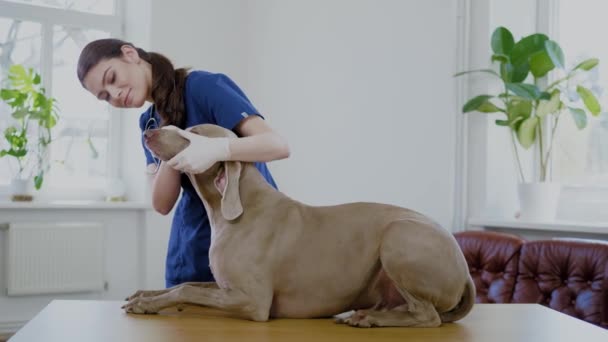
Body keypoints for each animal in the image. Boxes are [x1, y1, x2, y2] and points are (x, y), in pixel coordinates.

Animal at [124, 124, 476, 328]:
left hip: (399, 236)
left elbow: (186, 290)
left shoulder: (253, 302)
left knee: (428, 316)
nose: (147, 132)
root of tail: (465, 273)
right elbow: (186, 285)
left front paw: (146, 304)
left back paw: (369, 318)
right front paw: (144, 295)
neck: (235, 209)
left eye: (191, 133)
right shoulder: (225, 286)